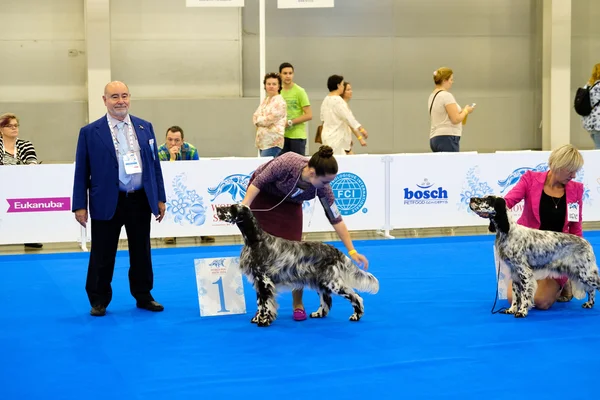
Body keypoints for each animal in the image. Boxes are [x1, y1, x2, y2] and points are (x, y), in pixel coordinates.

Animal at [214, 205, 380, 326]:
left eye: (231, 208)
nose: (217, 209)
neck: (256, 240)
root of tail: (335, 251)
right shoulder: (258, 282)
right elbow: (260, 303)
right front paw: (257, 319)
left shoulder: (264, 280)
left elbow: (265, 304)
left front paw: (264, 320)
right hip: (321, 281)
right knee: (326, 300)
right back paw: (318, 314)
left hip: (333, 282)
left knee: (356, 296)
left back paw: (356, 316)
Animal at [468, 195, 600, 318]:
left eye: (489, 200)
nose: (471, 199)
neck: (508, 232)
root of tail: (587, 243)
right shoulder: (515, 272)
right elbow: (516, 295)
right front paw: (512, 309)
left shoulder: (524, 272)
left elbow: (525, 295)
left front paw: (522, 311)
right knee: (591, 290)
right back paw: (589, 304)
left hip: (586, 274)